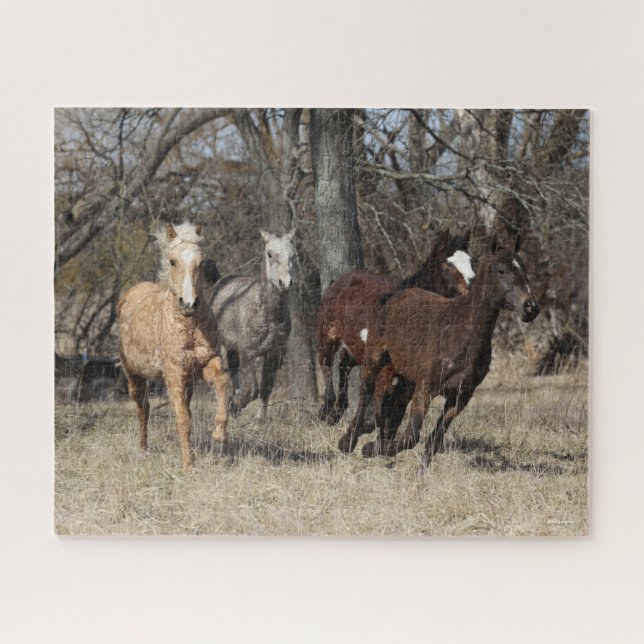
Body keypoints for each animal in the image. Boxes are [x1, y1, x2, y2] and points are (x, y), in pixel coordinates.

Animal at [118, 222, 230, 469]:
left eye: (201, 261)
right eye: (172, 261)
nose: (189, 303)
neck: (188, 326)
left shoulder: (207, 362)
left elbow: (222, 384)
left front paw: (219, 436)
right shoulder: (174, 372)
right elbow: (183, 420)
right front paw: (188, 465)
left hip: (187, 381)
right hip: (134, 376)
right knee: (143, 409)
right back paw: (143, 450)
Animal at [209, 229, 295, 422]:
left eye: (293, 254)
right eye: (269, 254)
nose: (285, 283)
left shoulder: (273, 353)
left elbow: (266, 387)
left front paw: (260, 419)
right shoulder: (248, 353)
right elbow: (251, 390)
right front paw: (235, 404)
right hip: (224, 348)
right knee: (225, 376)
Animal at [317, 229, 473, 443]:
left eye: (470, 260)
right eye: (448, 263)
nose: (472, 287)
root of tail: (340, 281)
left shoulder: (411, 379)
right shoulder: (387, 370)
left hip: (359, 350)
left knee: (343, 363)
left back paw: (337, 411)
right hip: (328, 334)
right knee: (326, 362)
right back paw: (326, 410)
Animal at [339, 236, 539, 467]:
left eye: (523, 268)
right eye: (501, 270)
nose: (530, 308)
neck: (460, 332)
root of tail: (396, 295)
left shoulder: (459, 397)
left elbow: (434, 441)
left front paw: (417, 471)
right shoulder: (425, 388)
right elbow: (412, 436)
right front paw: (370, 448)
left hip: (404, 378)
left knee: (390, 406)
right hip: (375, 360)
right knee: (366, 394)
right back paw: (348, 441)